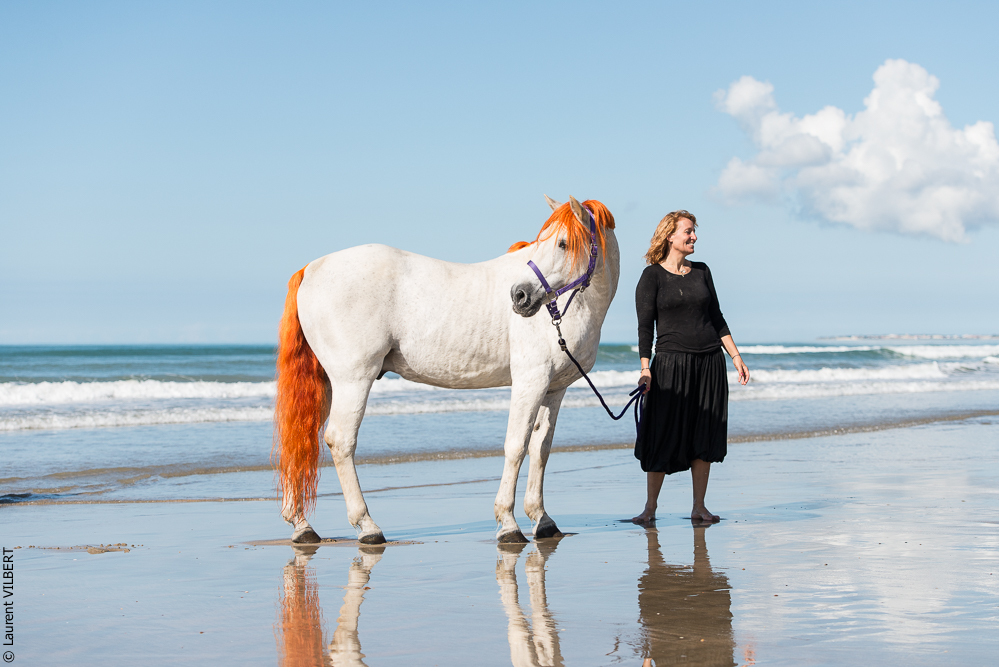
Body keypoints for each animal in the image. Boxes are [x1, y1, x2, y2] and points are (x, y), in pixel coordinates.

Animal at [273, 195, 620, 544]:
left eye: (562, 243)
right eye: (542, 243)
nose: (519, 296)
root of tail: (311, 268)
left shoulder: (554, 389)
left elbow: (540, 450)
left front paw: (542, 519)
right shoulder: (530, 381)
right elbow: (516, 446)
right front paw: (508, 523)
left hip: (328, 384)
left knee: (301, 441)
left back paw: (302, 525)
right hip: (353, 380)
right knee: (340, 440)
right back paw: (367, 526)